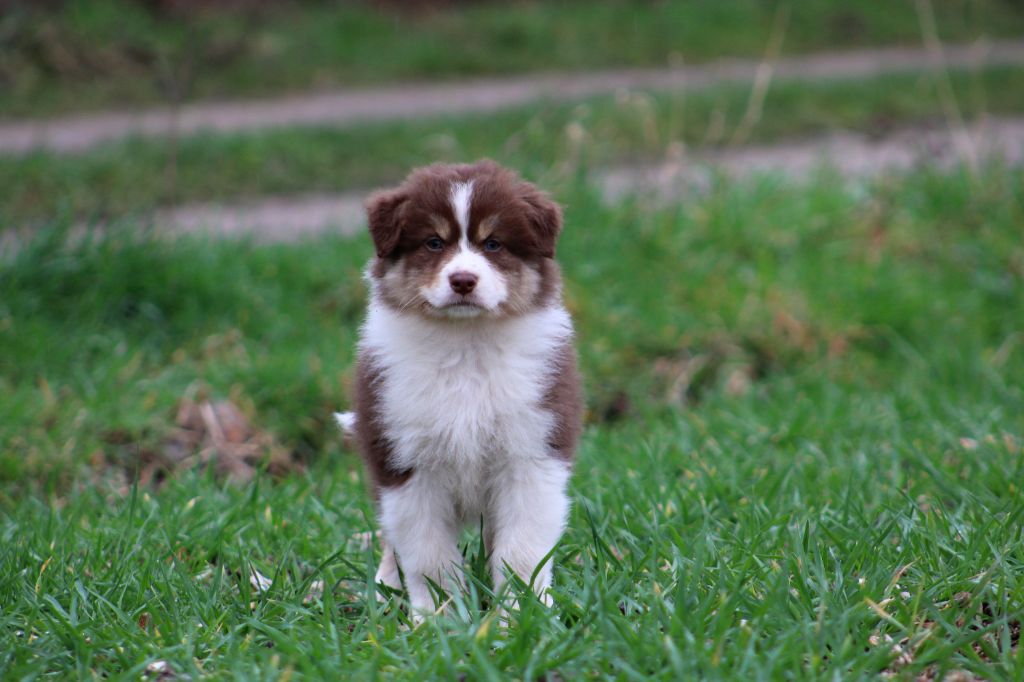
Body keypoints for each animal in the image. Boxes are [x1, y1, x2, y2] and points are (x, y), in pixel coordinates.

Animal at [335, 160, 582, 619]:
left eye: (494, 243)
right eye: (434, 242)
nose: (463, 280)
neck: (466, 346)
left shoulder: (531, 456)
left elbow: (521, 551)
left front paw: (521, 617)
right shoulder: (406, 467)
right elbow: (428, 556)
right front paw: (439, 621)